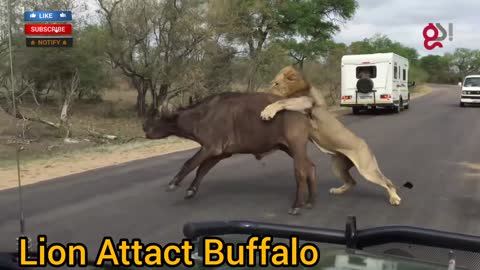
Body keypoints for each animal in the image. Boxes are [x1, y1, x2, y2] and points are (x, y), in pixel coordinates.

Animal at [260, 65, 410, 205]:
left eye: (276, 83)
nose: (265, 93)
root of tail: (366, 145)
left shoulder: (306, 102)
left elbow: (282, 101)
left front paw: (267, 112)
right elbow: (283, 101)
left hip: (367, 169)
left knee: (387, 182)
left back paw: (394, 198)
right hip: (337, 167)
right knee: (352, 182)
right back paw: (337, 190)